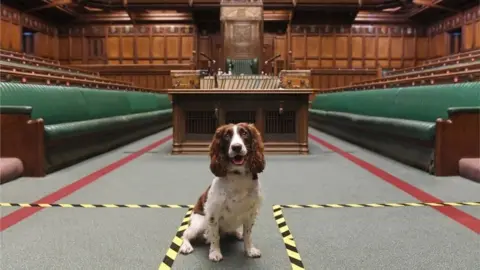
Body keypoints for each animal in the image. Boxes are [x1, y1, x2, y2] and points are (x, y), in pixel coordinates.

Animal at [178, 122, 264, 262]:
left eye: (244, 133)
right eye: (227, 136)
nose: (236, 147)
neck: (237, 176)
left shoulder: (251, 213)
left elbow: (248, 234)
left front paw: (250, 250)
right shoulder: (213, 213)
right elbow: (215, 236)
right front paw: (215, 253)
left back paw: (237, 233)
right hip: (200, 223)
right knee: (185, 234)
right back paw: (186, 246)